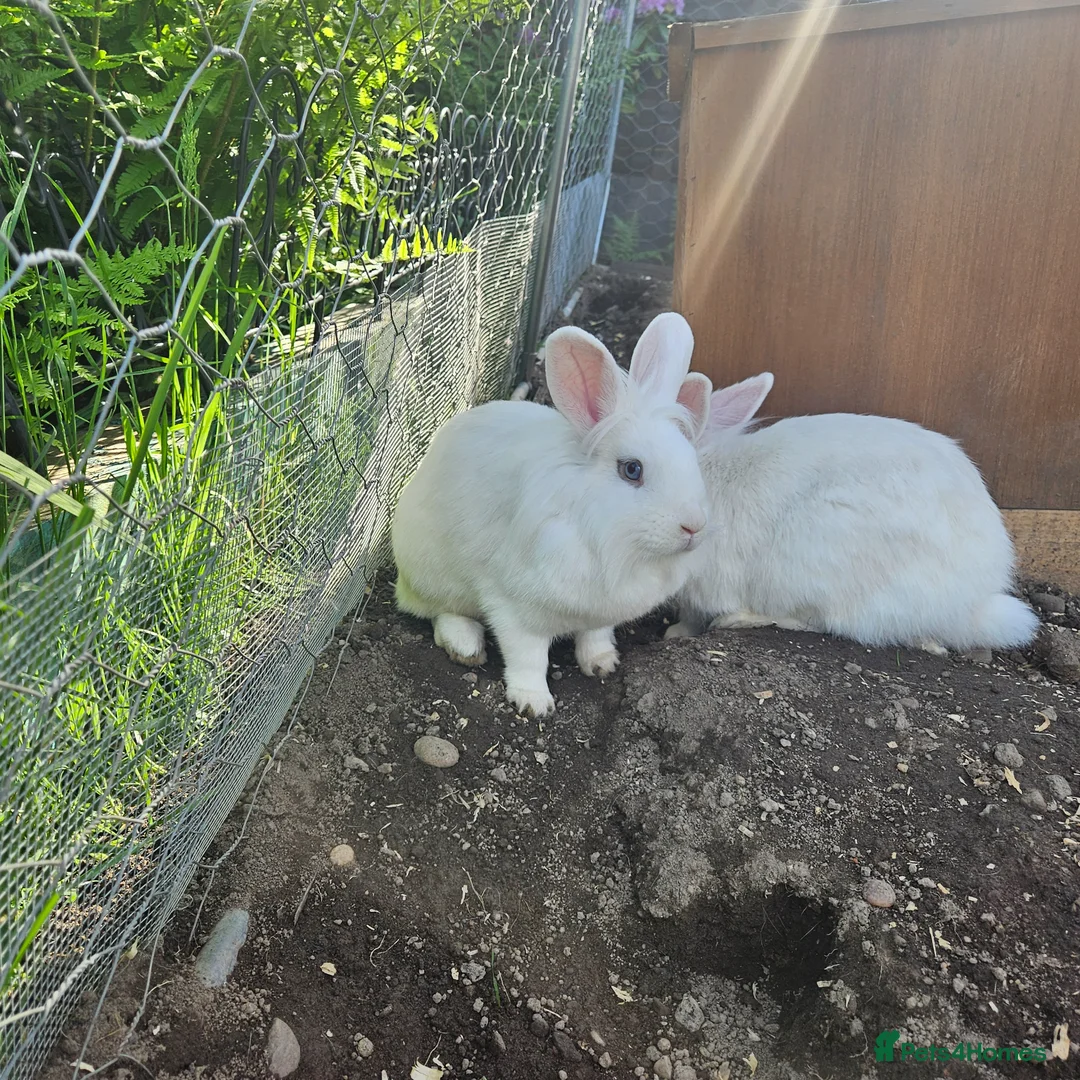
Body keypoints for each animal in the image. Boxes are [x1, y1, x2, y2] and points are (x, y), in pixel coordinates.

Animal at [392, 313, 713, 717]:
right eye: (632, 470)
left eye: (692, 462)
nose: (694, 527)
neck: (612, 544)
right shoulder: (513, 607)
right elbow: (528, 658)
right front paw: (533, 703)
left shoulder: (600, 615)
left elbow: (595, 637)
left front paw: (602, 664)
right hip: (434, 575)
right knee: (437, 612)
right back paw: (465, 646)